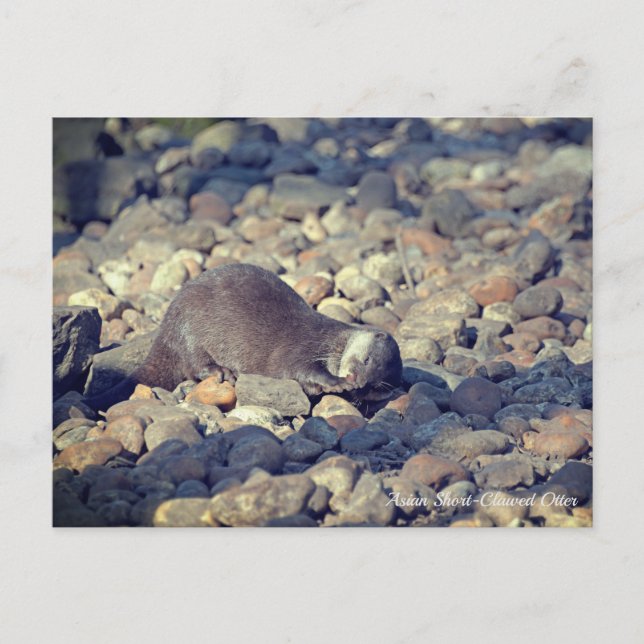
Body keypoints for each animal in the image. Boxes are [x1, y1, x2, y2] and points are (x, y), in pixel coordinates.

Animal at [86, 263, 402, 411]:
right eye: (365, 360)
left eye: (374, 385)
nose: (357, 382)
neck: (331, 340)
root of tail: (166, 326)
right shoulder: (302, 346)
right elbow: (297, 368)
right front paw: (335, 383)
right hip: (190, 328)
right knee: (192, 362)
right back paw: (221, 371)